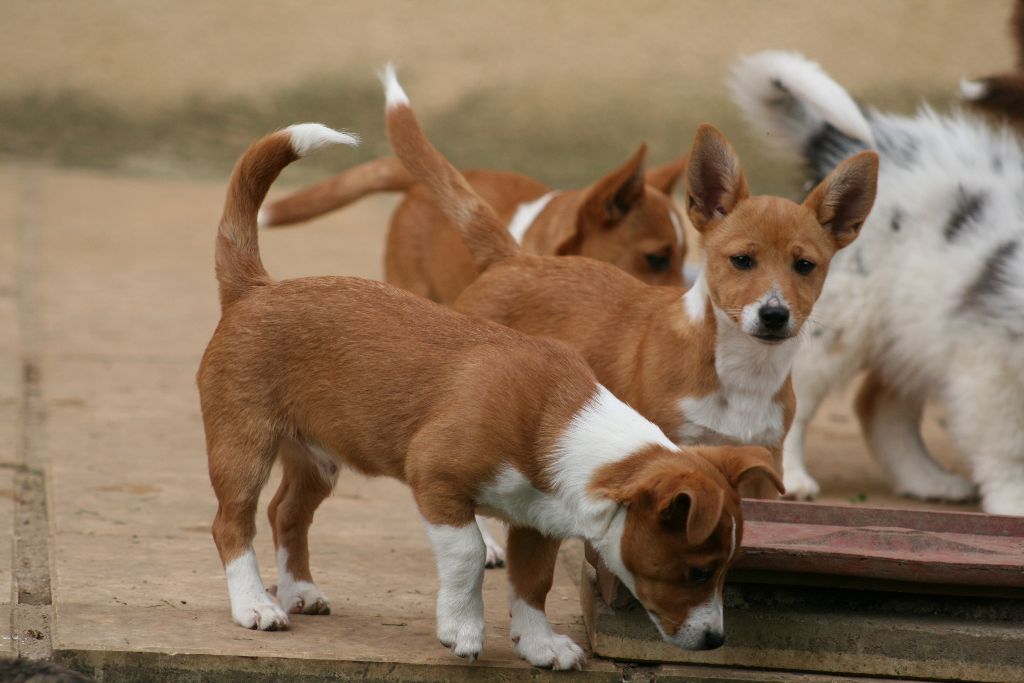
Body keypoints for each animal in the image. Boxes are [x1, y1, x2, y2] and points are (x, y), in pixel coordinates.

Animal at [380, 68, 876, 497]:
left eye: (805, 266)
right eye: (741, 260)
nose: (774, 314)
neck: (739, 374)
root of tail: (513, 257)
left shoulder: (762, 469)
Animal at [733, 50, 1024, 516]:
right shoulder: (990, 354)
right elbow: (1006, 443)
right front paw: (1014, 501)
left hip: (913, 323)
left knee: (880, 409)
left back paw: (928, 480)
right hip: (842, 318)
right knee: (800, 392)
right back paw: (792, 478)